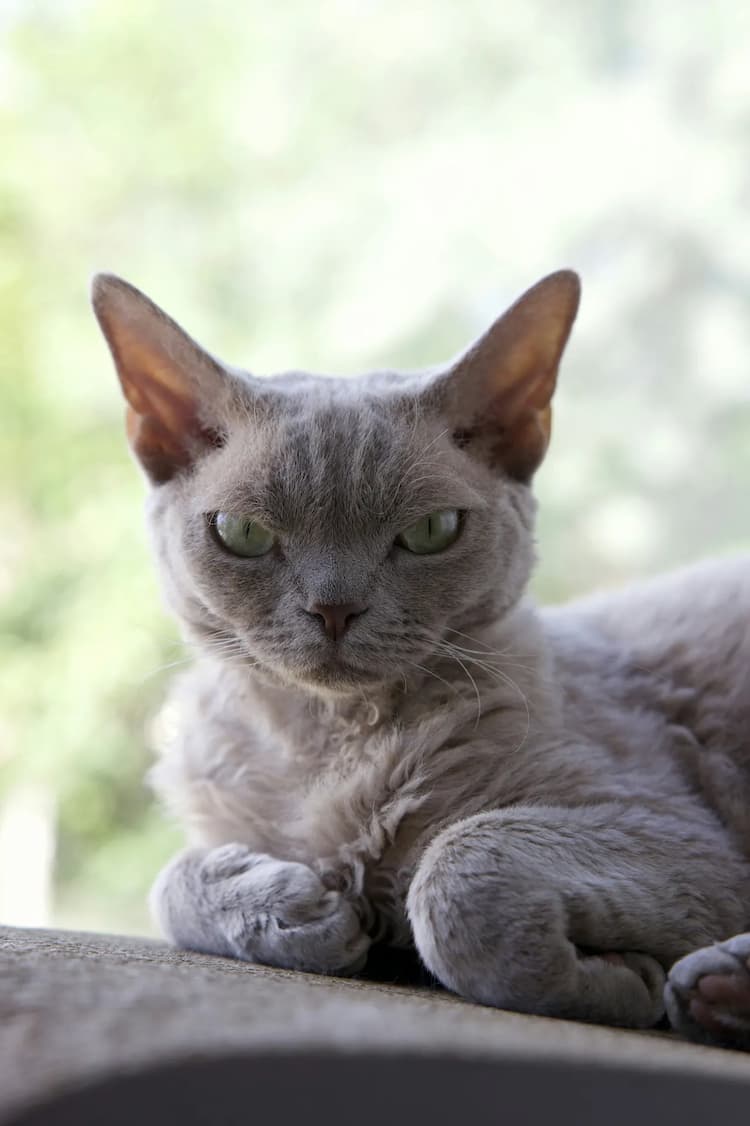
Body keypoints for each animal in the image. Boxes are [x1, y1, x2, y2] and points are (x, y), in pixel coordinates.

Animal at [91, 270, 747, 1044]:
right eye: (243, 533)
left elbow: (456, 874)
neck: (326, 743)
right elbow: (170, 883)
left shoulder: (675, 830)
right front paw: (295, 909)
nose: (334, 608)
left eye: (432, 531)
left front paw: (614, 980)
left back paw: (712, 987)